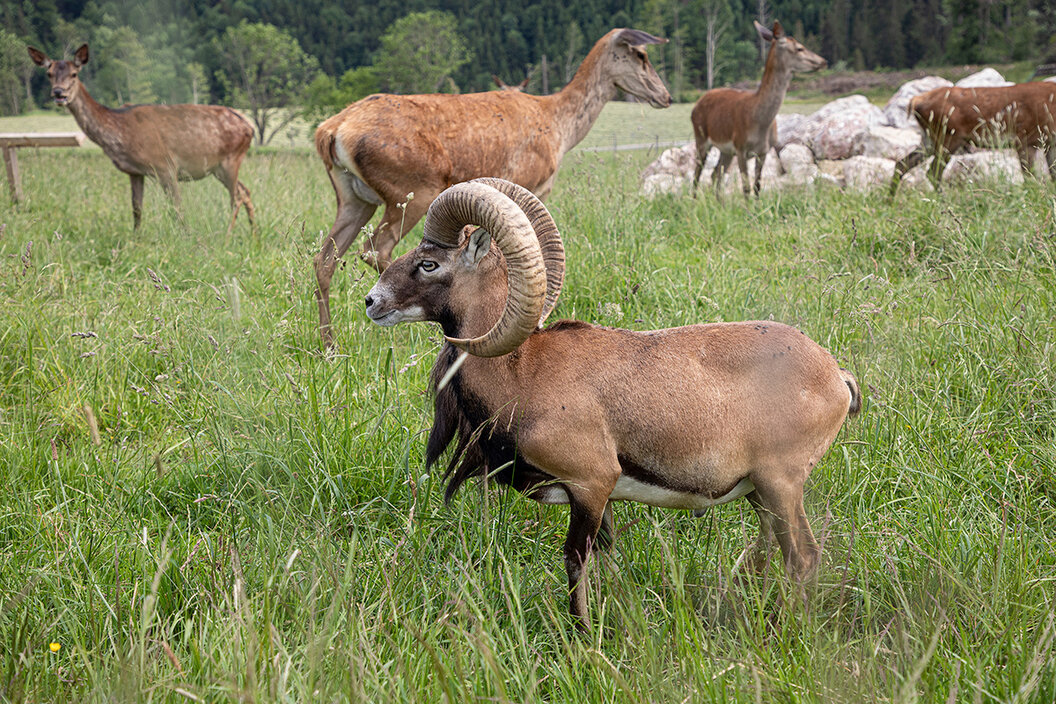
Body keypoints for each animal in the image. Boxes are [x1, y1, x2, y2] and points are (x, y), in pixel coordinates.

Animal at [27, 43, 254, 231]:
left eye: (74, 74)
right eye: (49, 73)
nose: (58, 93)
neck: (120, 132)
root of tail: (249, 128)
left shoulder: (165, 166)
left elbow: (176, 208)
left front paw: (188, 238)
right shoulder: (135, 172)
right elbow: (136, 208)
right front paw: (135, 240)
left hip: (230, 160)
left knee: (237, 196)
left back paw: (228, 235)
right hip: (218, 167)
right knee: (245, 190)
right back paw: (254, 234)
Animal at [310, 28, 667, 348]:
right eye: (641, 55)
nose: (664, 95)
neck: (559, 126)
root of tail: (331, 131)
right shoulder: (530, 180)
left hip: (354, 198)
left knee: (324, 259)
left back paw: (329, 345)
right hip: (412, 190)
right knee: (375, 248)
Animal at [367, 179, 861, 629]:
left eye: (428, 263)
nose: (372, 301)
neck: (523, 370)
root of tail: (836, 375)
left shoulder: (590, 484)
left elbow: (574, 561)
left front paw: (583, 635)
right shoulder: (599, 499)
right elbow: (606, 561)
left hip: (781, 483)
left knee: (803, 557)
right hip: (760, 492)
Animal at [688, 20, 827, 199]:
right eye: (799, 48)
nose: (823, 61)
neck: (759, 122)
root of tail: (697, 104)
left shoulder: (763, 151)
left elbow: (757, 186)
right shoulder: (740, 147)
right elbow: (746, 188)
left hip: (726, 150)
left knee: (715, 173)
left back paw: (719, 203)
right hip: (701, 137)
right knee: (697, 174)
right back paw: (694, 201)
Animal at [891, 81, 1056, 194]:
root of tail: (915, 101)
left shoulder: (1050, 143)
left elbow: (1052, 173)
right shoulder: (1024, 138)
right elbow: (1029, 176)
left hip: (930, 139)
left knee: (902, 163)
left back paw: (890, 201)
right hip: (948, 136)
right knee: (932, 172)